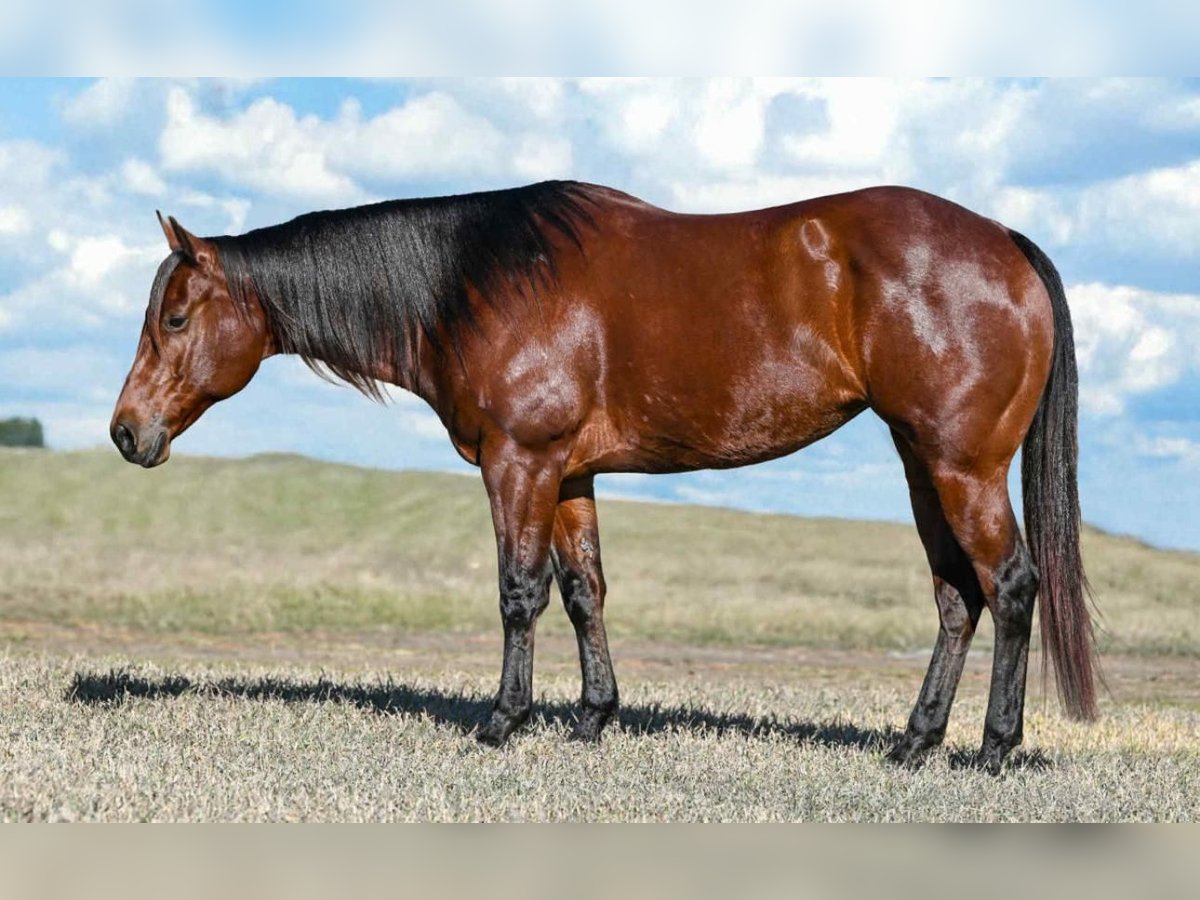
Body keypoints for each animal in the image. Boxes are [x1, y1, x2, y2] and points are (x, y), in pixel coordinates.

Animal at [110, 181, 1097, 773]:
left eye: (174, 317)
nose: (126, 432)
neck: (482, 280)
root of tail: (1005, 243)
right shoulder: (569, 473)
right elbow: (585, 591)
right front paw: (593, 716)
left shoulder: (519, 462)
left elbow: (519, 593)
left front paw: (503, 722)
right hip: (920, 461)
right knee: (957, 598)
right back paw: (914, 743)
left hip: (962, 466)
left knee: (1010, 586)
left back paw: (994, 749)